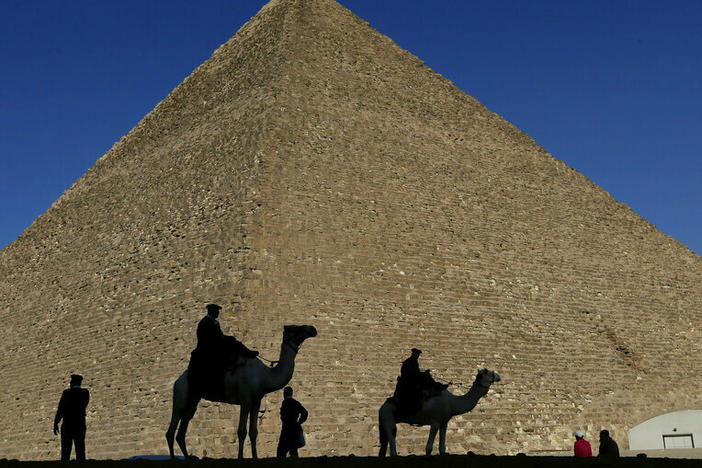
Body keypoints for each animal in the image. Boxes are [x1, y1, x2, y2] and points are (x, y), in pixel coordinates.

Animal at [166, 324, 318, 458]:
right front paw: (240, 457)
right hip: (180, 395)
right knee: (171, 430)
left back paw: (187, 457)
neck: (265, 376)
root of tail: (177, 380)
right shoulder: (245, 400)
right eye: (296, 329)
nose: (313, 329)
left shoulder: (257, 401)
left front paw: (255, 457)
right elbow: (241, 431)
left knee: (182, 429)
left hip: (193, 399)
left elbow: (253, 432)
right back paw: (174, 458)